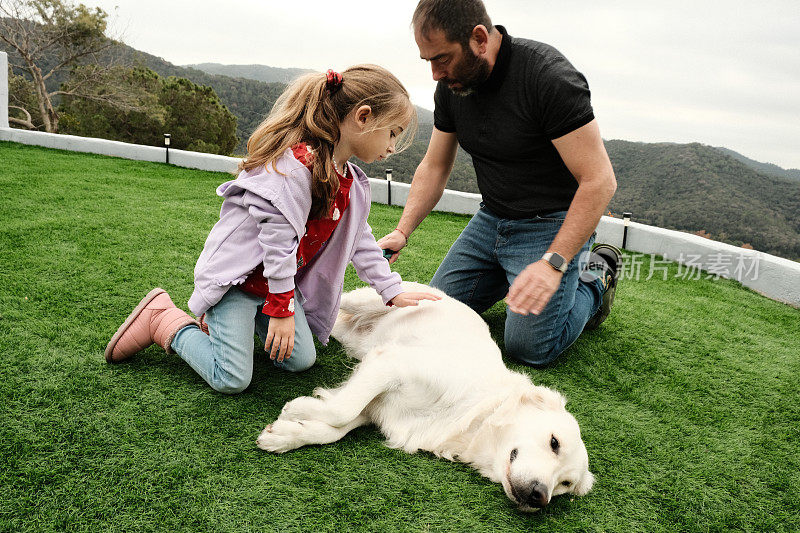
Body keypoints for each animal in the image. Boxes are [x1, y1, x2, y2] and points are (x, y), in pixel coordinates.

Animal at [256, 280, 592, 510]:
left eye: (565, 484)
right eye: (554, 442)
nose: (539, 497)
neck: (473, 415)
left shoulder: (376, 406)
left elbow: (335, 427)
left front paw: (286, 434)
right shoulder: (391, 363)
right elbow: (341, 410)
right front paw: (297, 409)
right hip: (364, 301)